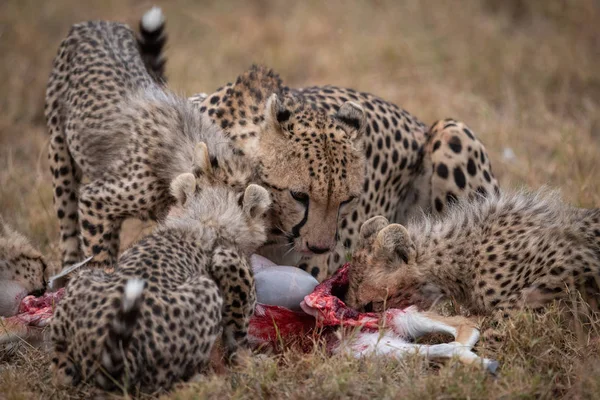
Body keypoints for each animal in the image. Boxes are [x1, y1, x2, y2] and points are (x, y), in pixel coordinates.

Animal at [51, 162, 272, 390]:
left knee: (60, 365)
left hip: (84, 277)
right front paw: (250, 363)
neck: (207, 219)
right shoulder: (228, 260)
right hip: (204, 291)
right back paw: (200, 382)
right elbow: (237, 334)